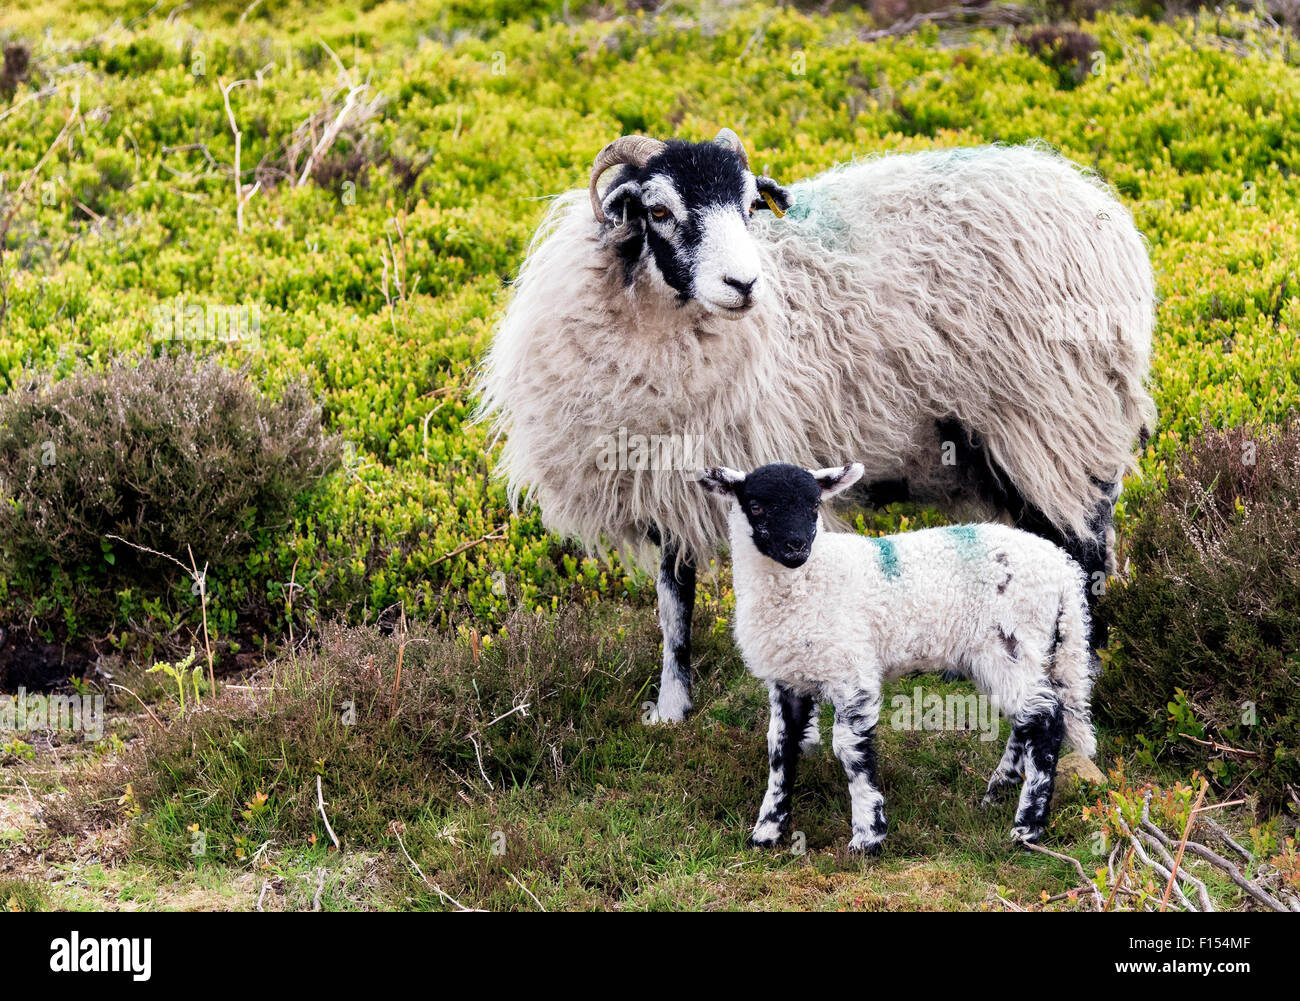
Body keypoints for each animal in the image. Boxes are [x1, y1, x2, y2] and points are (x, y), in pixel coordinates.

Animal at [480, 128, 1159, 722]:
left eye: (751, 206)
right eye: (659, 210)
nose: (744, 283)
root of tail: (1094, 202)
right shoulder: (666, 485)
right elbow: (674, 608)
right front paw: (671, 710)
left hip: (1059, 421)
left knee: (1087, 548)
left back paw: (1085, 674)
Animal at [702, 460, 1097, 852]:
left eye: (814, 504)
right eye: (756, 506)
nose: (797, 545)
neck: (810, 578)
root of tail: (1064, 569)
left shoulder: (852, 672)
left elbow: (850, 750)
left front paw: (867, 835)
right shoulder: (788, 678)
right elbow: (780, 750)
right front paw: (767, 830)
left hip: (1012, 642)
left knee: (1045, 720)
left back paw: (1027, 827)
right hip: (1009, 653)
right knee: (1026, 719)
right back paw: (999, 790)